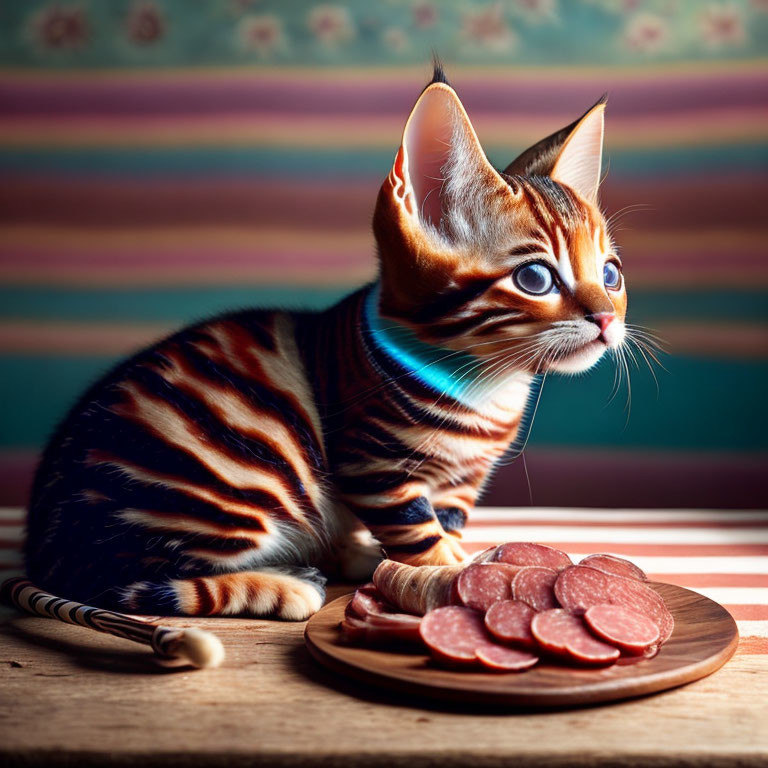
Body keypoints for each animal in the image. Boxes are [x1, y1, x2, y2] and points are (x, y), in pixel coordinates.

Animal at [24, 63, 628, 620]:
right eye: (535, 279)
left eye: (610, 274)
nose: (605, 318)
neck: (489, 385)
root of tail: (42, 548)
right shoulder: (375, 464)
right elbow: (420, 535)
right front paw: (448, 578)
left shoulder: (460, 483)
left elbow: (448, 525)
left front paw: (466, 562)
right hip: (236, 471)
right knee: (131, 584)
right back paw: (285, 585)